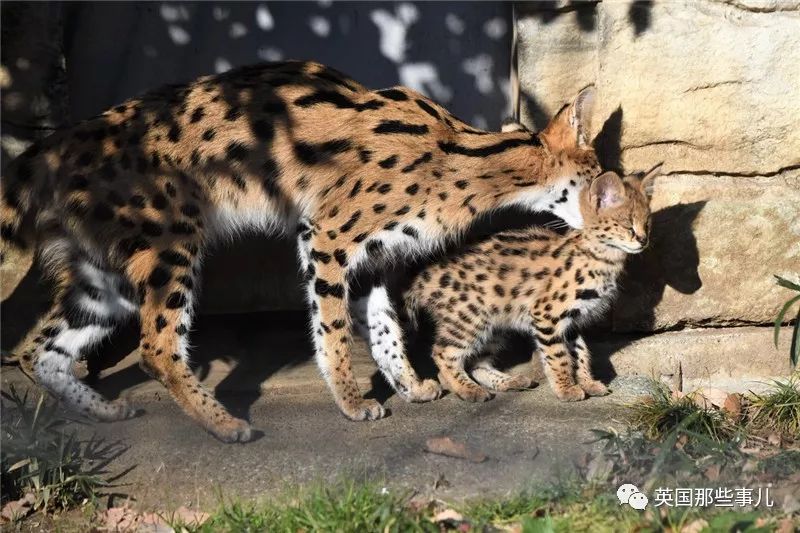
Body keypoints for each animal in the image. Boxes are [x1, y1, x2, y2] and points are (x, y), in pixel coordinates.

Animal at [0, 60, 600, 440]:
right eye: (598, 179)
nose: (606, 208)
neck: (465, 160)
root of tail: (58, 141)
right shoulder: (326, 233)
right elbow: (331, 328)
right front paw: (352, 402)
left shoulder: (374, 257)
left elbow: (385, 327)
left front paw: (408, 386)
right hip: (172, 241)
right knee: (155, 347)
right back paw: (223, 425)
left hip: (109, 275)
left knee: (36, 350)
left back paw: (99, 413)